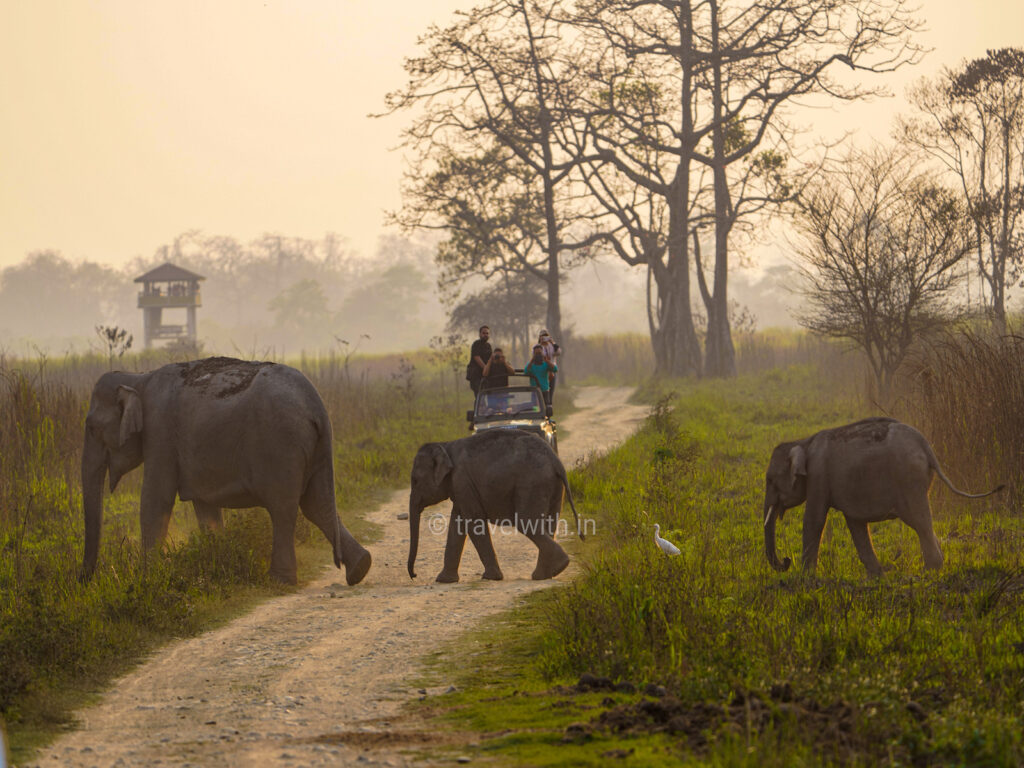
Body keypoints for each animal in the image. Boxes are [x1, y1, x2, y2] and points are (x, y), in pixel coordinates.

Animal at [79, 358, 374, 585]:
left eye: (91, 428)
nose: (85, 582)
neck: (138, 377)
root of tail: (315, 404)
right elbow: (205, 507)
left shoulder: (160, 432)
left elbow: (155, 499)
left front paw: (147, 579)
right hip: (314, 446)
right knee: (318, 504)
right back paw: (360, 568)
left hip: (281, 445)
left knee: (283, 508)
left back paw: (279, 580)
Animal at [407, 434, 585, 581]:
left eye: (415, 480)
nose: (414, 575)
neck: (445, 445)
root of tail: (556, 460)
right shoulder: (460, 488)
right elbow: (457, 524)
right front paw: (443, 580)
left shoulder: (462, 481)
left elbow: (474, 522)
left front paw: (491, 577)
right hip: (553, 486)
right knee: (549, 523)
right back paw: (546, 574)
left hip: (532, 483)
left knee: (525, 523)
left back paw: (557, 566)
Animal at [765, 415, 1003, 577]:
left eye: (770, 480)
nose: (786, 560)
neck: (803, 442)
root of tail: (925, 444)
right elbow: (856, 525)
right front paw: (877, 576)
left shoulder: (818, 476)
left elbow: (814, 520)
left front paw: (805, 577)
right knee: (922, 522)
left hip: (909, 480)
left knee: (919, 521)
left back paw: (931, 571)